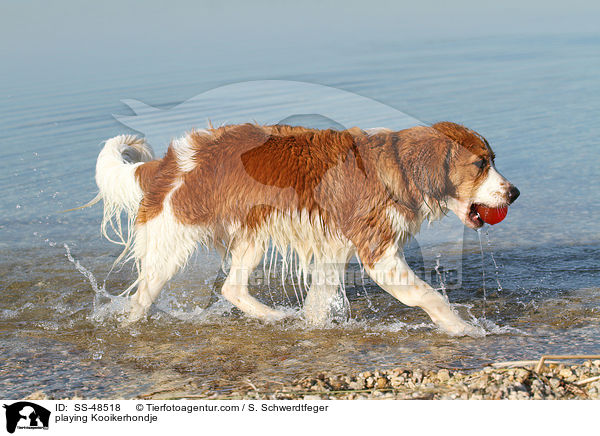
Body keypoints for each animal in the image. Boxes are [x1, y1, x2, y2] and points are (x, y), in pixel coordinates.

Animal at [94, 121, 520, 336]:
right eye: (480, 164)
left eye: (492, 159)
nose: (514, 193)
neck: (397, 166)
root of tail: (170, 161)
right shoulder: (379, 254)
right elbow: (429, 296)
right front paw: (462, 328)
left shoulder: (333, 250)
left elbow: (318, 302)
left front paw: (312, 327)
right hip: (171, 245)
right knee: (141, 298)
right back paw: (131, 324)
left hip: (252, 236)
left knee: (232, 287)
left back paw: (271, 317)